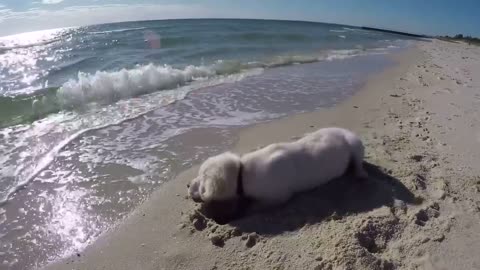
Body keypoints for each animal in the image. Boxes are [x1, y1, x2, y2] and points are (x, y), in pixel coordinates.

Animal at [188, 126, 368, 205]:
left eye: (201, 179)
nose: (187, 184)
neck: (242, 173)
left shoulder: (280, 196)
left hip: (354, 143)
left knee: (358, 163)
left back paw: (360, 174)